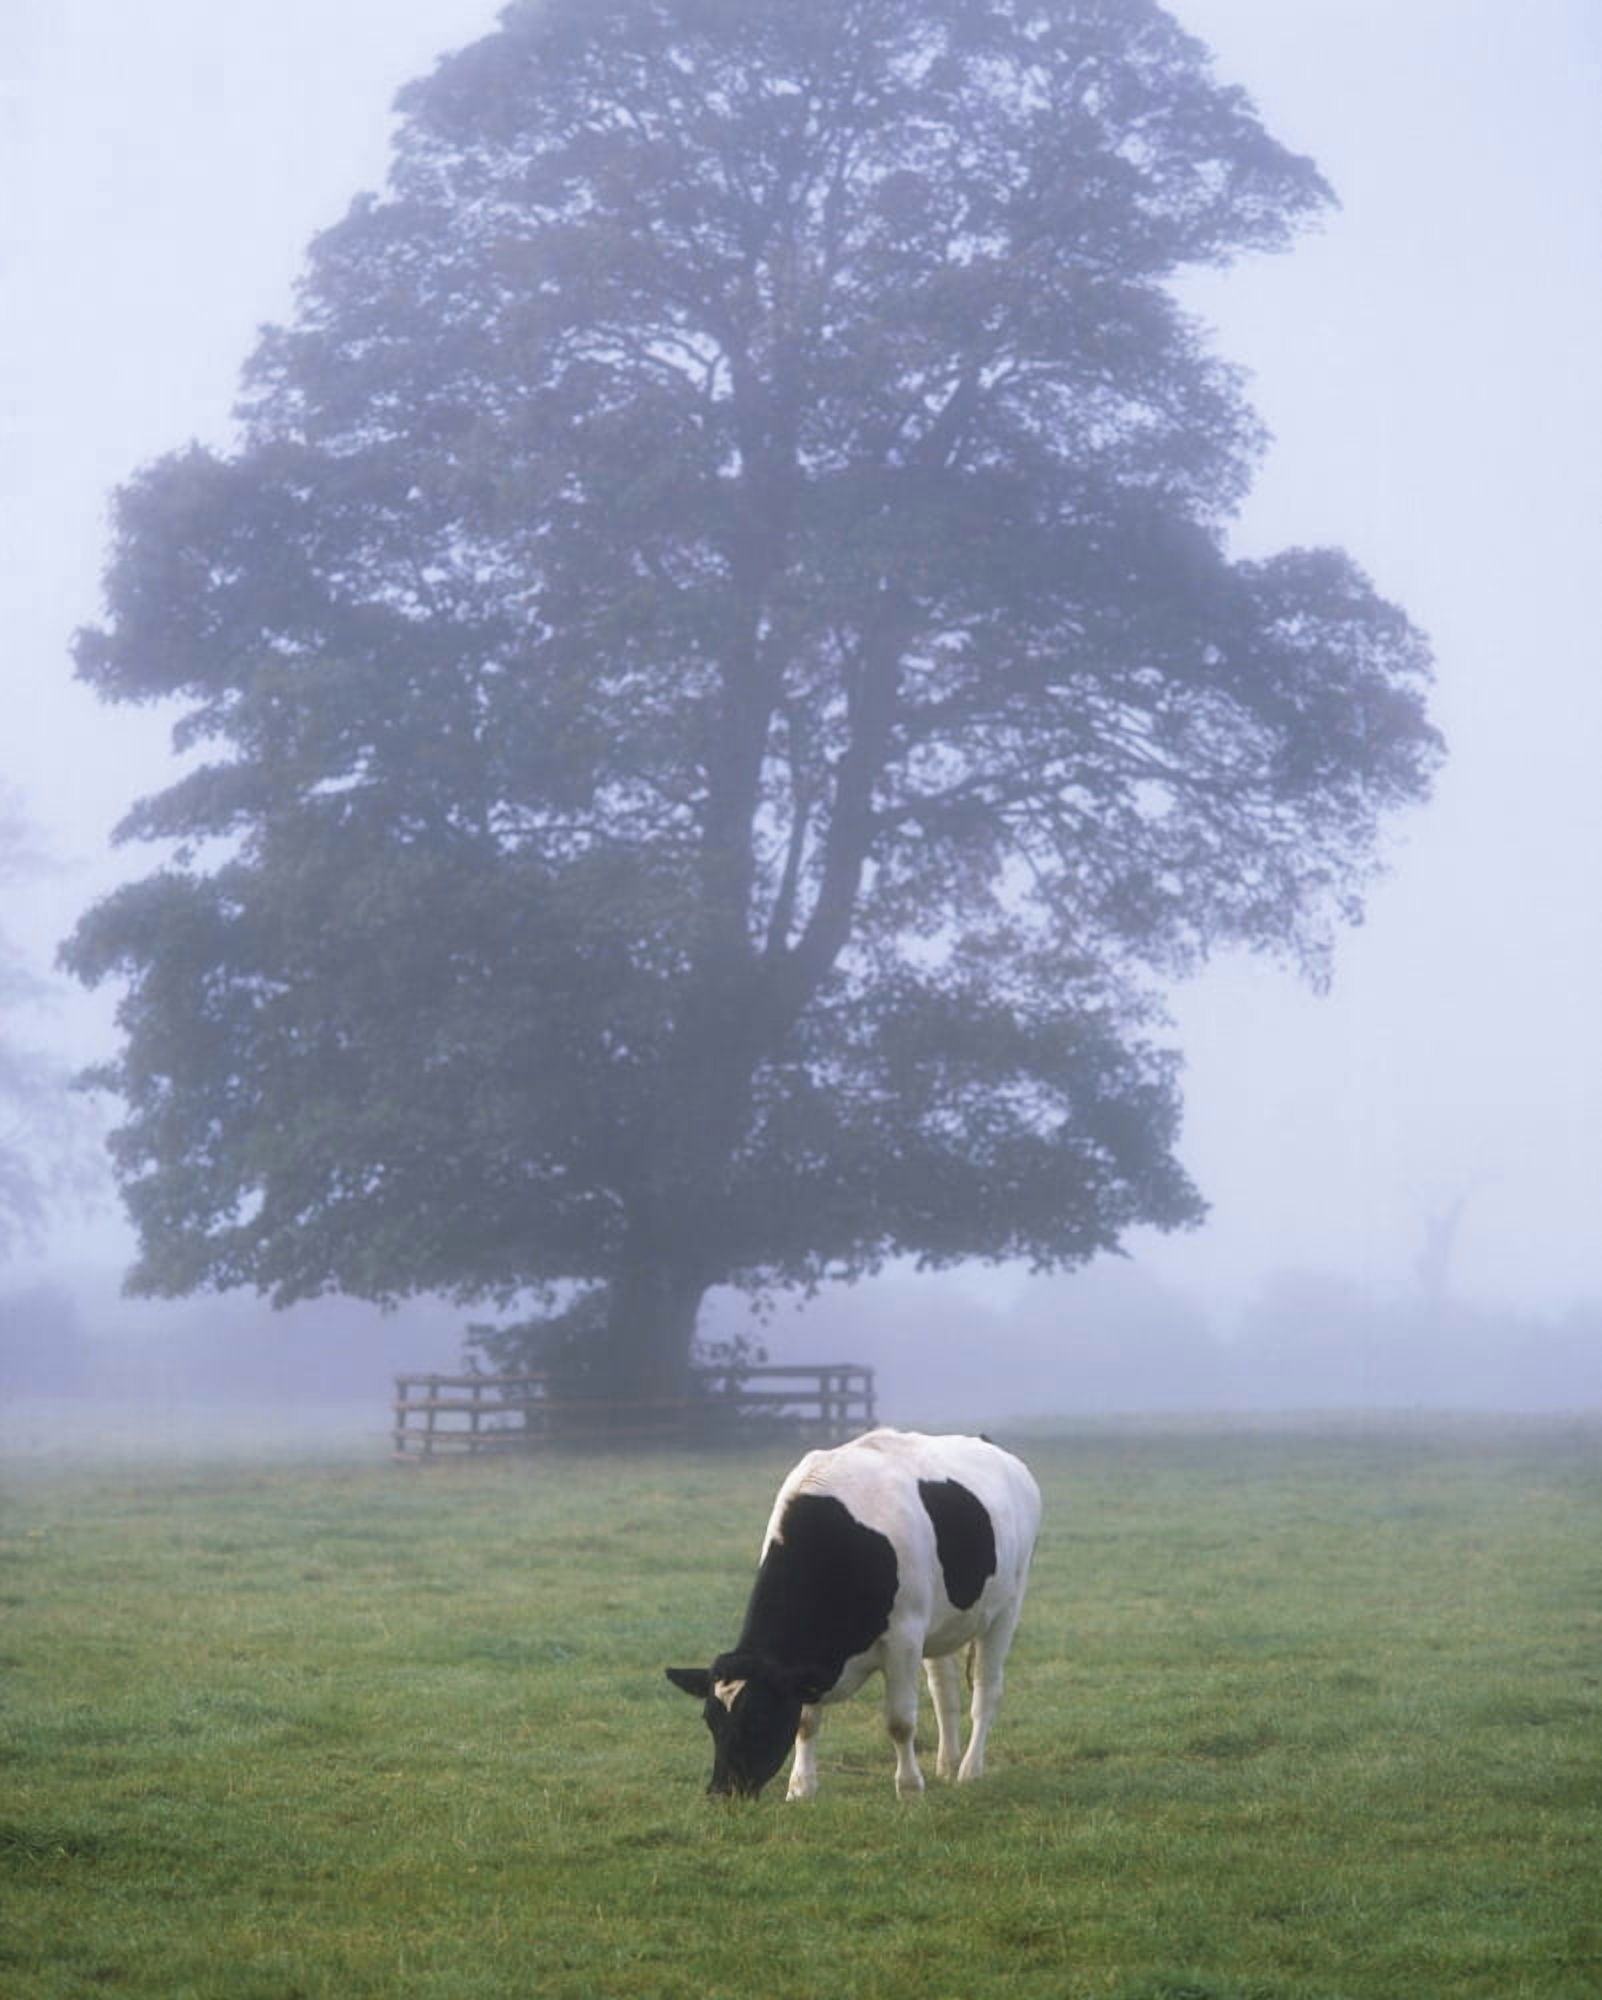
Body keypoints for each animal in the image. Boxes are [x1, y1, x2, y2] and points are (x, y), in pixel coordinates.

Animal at [665, 1427, 1041, 1800]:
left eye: (756, 1719)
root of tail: (991, 1447)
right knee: (944, 1692)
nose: (721, 1791)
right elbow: (805, 1723)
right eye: (709, 1720)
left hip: (1007, 1607)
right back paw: (947, 1764)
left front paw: (909, 1789)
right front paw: (801, 1788)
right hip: (941, 1624)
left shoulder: (904, 1637)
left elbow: (900, 1722)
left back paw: (969, 1770)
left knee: (986, 1691)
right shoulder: (807, 1664)